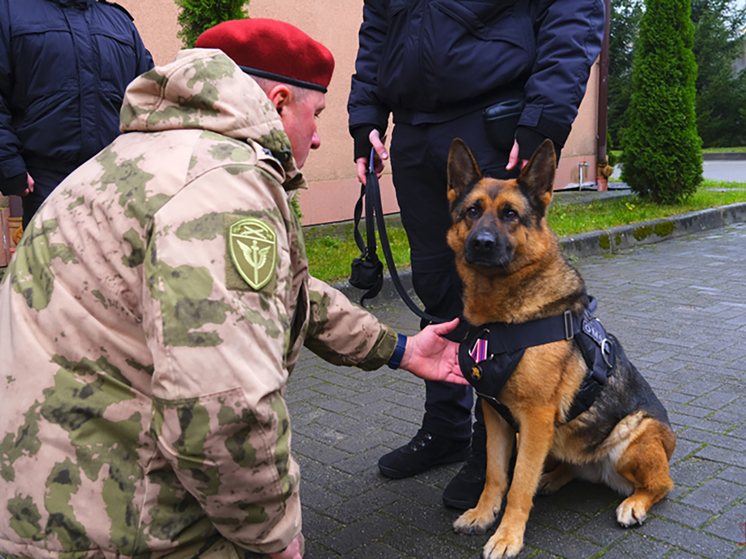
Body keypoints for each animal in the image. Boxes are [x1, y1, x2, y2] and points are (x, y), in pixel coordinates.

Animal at [444, 137, 676, 559]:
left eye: (511, 214)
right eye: (472, 211)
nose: (481, 244)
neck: (502, 319)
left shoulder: (535, 418)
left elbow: (518, 484)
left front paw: (507, 536)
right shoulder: (496, 414)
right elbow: (496, 473)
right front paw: (483, 515)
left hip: (631, 436)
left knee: (660, 485)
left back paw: (633, 503)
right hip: (553, 440)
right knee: (568, 466)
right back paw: (552, 478)